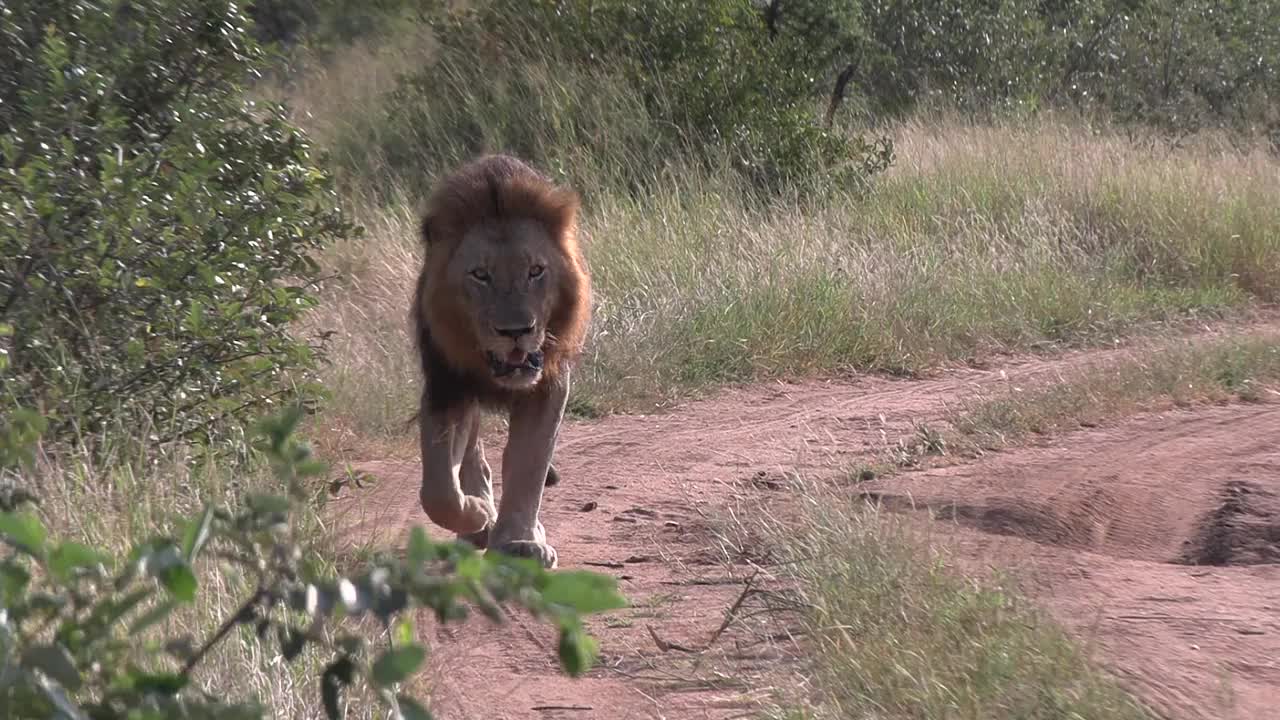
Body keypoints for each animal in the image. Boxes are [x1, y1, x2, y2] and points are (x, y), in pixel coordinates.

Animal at [409, 154, 588, 568]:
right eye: (480, 275)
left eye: (536, 271)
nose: (516, 330)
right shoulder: (447, 385)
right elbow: (438, 490)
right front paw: (478, 514)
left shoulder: (548, 386)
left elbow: (528, 463)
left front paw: (520, 542)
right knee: (472, 457)